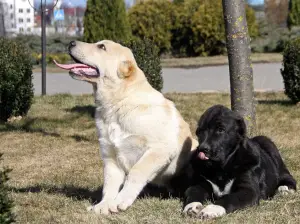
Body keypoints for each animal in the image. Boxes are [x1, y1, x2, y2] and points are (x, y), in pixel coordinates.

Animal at [55, 40, 198, 215]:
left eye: (101, 47)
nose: (71, 42)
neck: (119, 103)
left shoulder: (160, 149)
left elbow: (136, 172)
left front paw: (120, 200)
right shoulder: (110, 155)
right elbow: (109, 184)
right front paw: (104, 205)